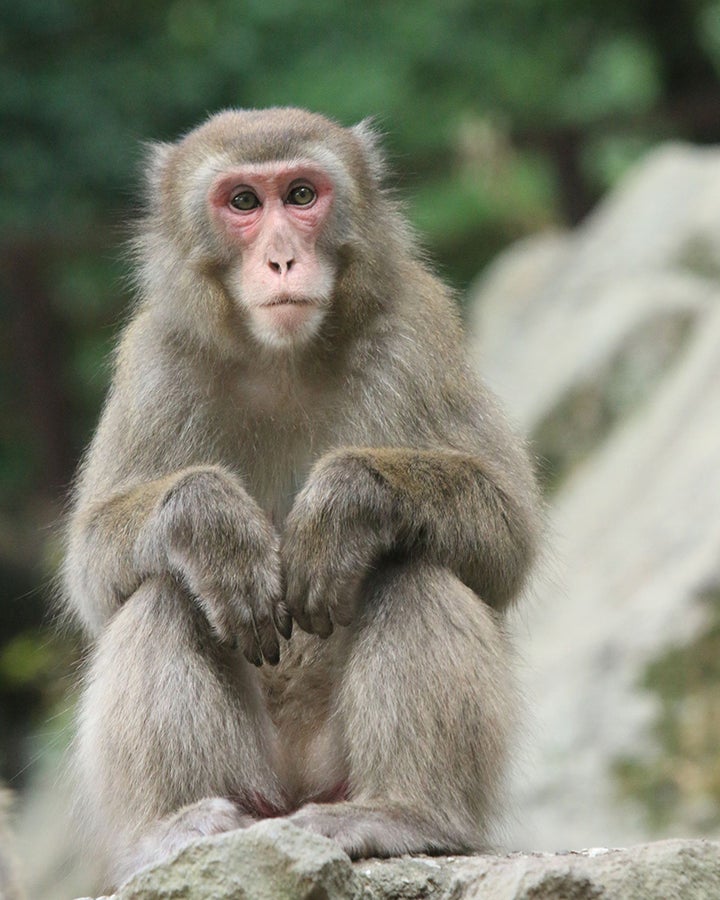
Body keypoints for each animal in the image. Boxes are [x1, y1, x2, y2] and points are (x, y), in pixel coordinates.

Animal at [62, 107, 540, 884]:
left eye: (302, 195)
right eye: (243, 203)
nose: (283, 259)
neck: (282, 358)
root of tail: (291, 796)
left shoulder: (416, 329)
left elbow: (507, 537)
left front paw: (346, 503)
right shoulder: (155, 359)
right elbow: (93, 573)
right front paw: (210, 526)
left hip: (330, 767)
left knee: (415, 567)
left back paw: (405, 813)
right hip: (256, 781)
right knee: (162, 591)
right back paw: (179, 826)